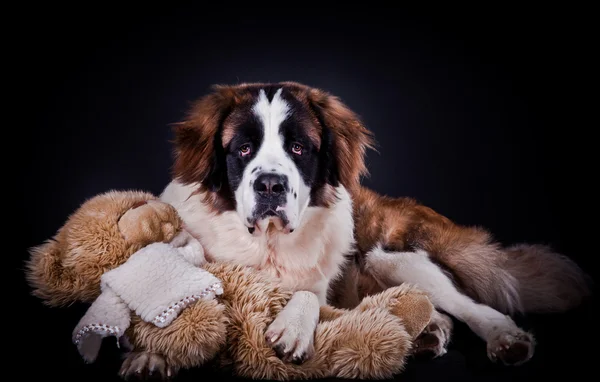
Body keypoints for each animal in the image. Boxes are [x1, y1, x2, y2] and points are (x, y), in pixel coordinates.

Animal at [118, 81, 592, 380]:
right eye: (244, 149)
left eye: (298, 148)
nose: (270, 184)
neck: (267, 242)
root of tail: (393, 201)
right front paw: (151, 354)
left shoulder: (324, 286)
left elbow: (308, 294)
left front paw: (293, 327)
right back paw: (428, 334)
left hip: (395, 256)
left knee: (470, 305)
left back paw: (504, 338)